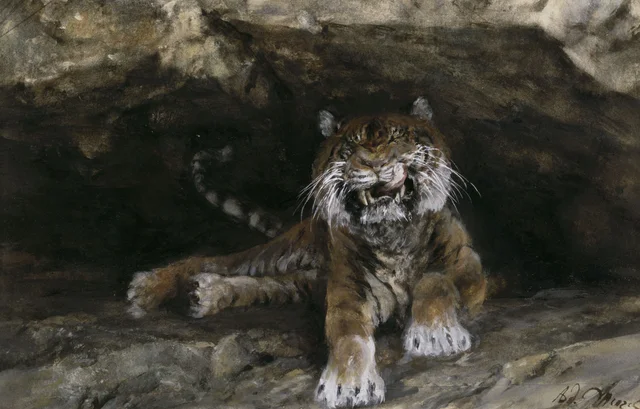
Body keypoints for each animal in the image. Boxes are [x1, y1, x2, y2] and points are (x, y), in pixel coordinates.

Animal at [127, 96, 487, 408]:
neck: (391, 232)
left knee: (263, 285)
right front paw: (347, 384)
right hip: (283, 253)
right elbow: (349, 336)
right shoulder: (348, 293)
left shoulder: (468, 267)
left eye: (397, 138)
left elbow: (435, 281)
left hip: (302, 283)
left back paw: (204, 294)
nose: (374, 163)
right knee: (215, 261)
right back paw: (148, 286)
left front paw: (434, 335)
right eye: (351, 148)